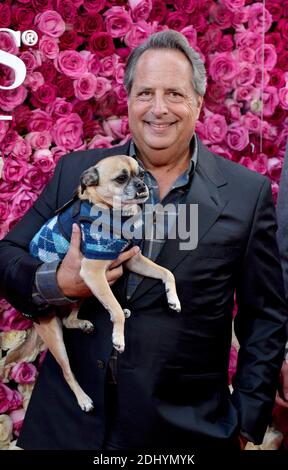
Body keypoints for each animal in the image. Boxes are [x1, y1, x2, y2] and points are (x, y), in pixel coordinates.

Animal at [2, 155, 180, 412]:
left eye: (142, 174)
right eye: (121, 178)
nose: (142, 185)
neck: (113, 214)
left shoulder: (132, 260)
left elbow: (167, 273)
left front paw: (173, 299)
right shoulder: (93, 272)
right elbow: (115, 310)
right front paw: (118, 338)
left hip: (82, 294)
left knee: (70, 319)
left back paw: (86, 322)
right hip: (57, 330)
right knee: (67, 370)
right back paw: (83, 399)